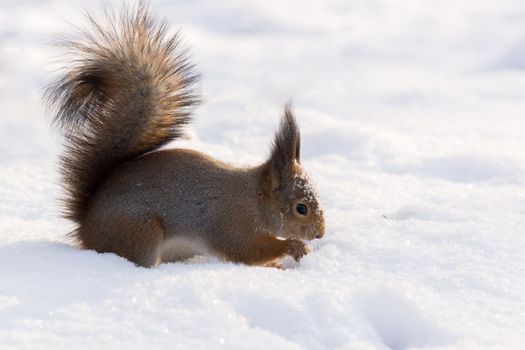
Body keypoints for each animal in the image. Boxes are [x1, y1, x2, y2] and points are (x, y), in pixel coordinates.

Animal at [45, 4, 324, 268]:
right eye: (301, 208)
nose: (320, 234)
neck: (255, 199)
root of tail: (85, 226)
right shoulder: (231, 223)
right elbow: (246, 251)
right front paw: (293, 247)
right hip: (140, 232)